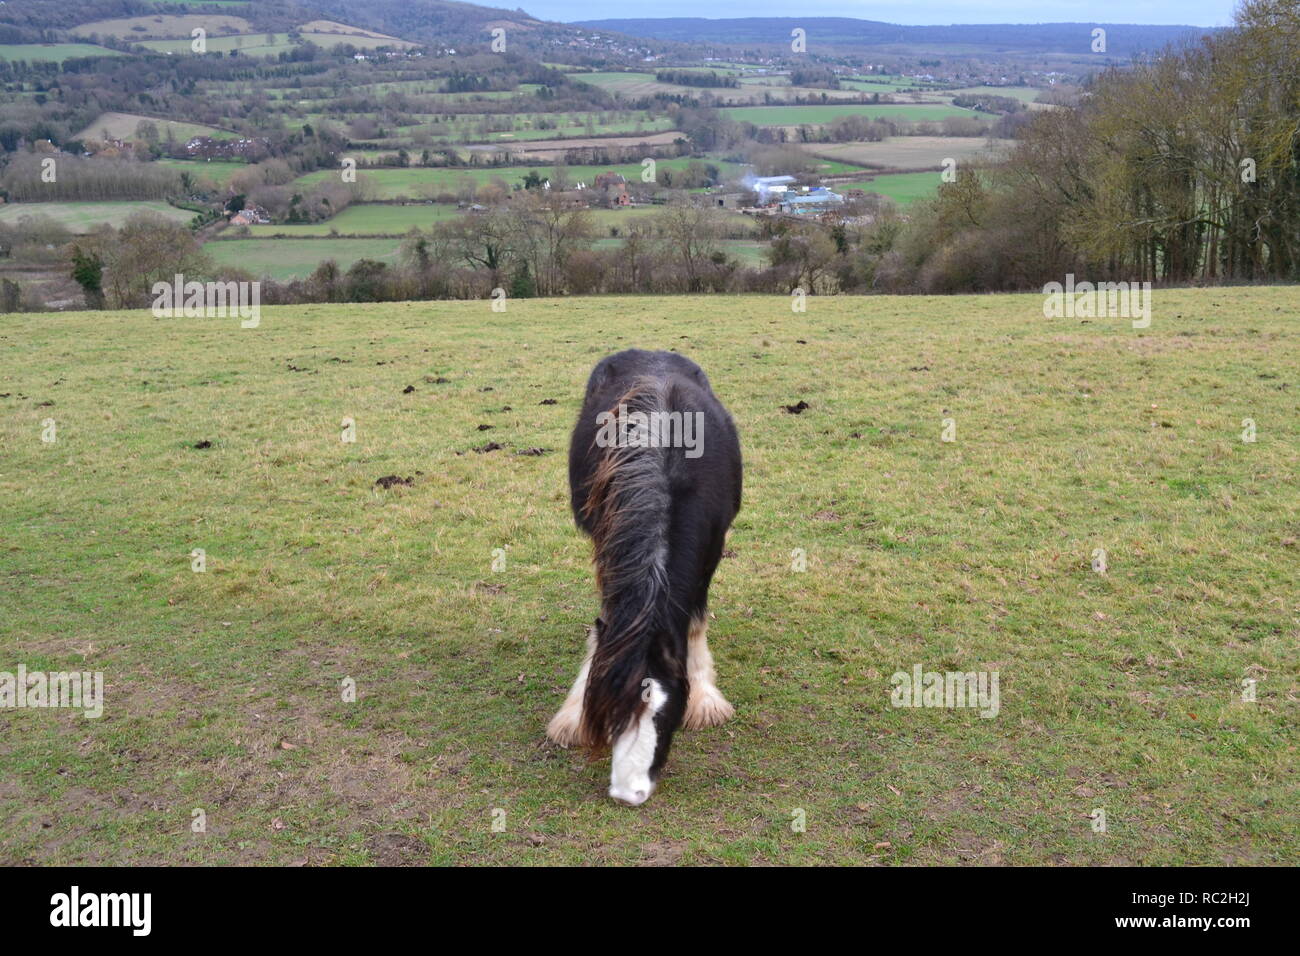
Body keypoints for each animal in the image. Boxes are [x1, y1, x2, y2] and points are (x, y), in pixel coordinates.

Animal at [546, 348, 743, 806]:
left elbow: (695, 621)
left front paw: (705, 699)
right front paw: (573, 714)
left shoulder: (713, 545)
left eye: (665, 712)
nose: (627, 793)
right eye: (611, 713)